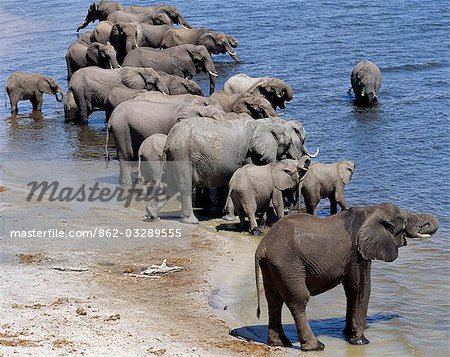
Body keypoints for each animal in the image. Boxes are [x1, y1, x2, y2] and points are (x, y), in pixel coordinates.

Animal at [256, 203, 440, 350]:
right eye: (404, 220)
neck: (371, 210)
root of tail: (262, 248)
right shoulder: (357, 253)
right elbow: (362, 289)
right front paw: (361, 341)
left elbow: (352, 291)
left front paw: (347, 334)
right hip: (288, 266)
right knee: (298, 300)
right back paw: (316, 346)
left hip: (273, 268)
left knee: (274, 301)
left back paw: (280, 343)